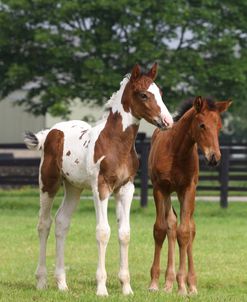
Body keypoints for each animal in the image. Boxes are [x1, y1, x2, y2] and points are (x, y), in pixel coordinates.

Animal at [24, 62, 173, 296]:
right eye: (143, 95)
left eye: (160, 92)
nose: (168, 121)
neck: (115, 143)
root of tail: (51, 132)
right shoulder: (101, 187)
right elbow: (103, 232)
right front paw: (102, 288)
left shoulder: (126, 188)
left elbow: (124, 233)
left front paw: (126, 288)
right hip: (48, 183)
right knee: (44, 224)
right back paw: (41, 281)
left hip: (74, 188)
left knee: (61, 223)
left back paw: (62, 283)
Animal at [149, 96, 232, 294]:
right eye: (202, 125)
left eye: (219, 126)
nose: (214, 158)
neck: (176, 151)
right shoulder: (159, 188)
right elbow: (160, 229)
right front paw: (154, 283)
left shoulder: (188, 189)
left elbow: (185, 232)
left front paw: (183, 286)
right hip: (168, 193)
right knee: (171, 224)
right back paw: (167, 282)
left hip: (182, 193)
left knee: (189, 228)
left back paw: (190, 284)